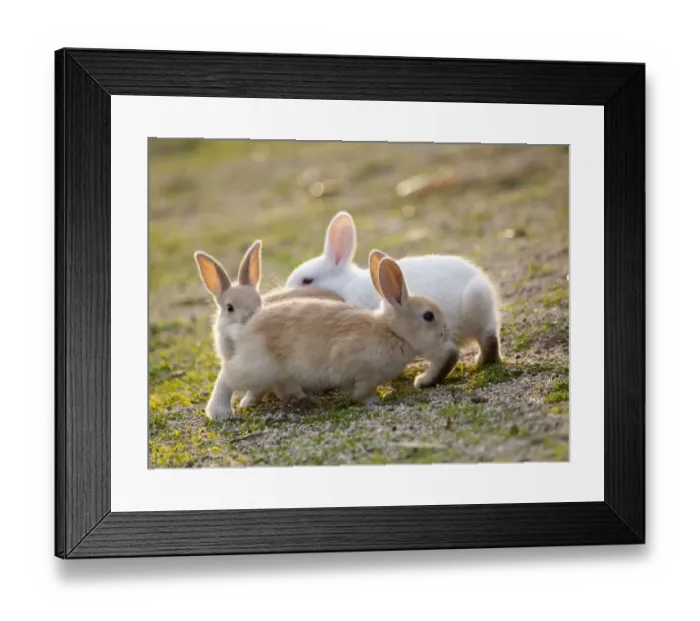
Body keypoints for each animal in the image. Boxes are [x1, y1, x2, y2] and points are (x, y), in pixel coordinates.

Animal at [208, 253, 457, 421]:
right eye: (428, 316)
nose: (445, 330)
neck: (391, 331)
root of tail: (244, 329)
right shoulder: (363, 372)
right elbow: (362, 390)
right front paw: (373, 400)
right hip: (257, 368)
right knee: (226, 379)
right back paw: (219, 412)